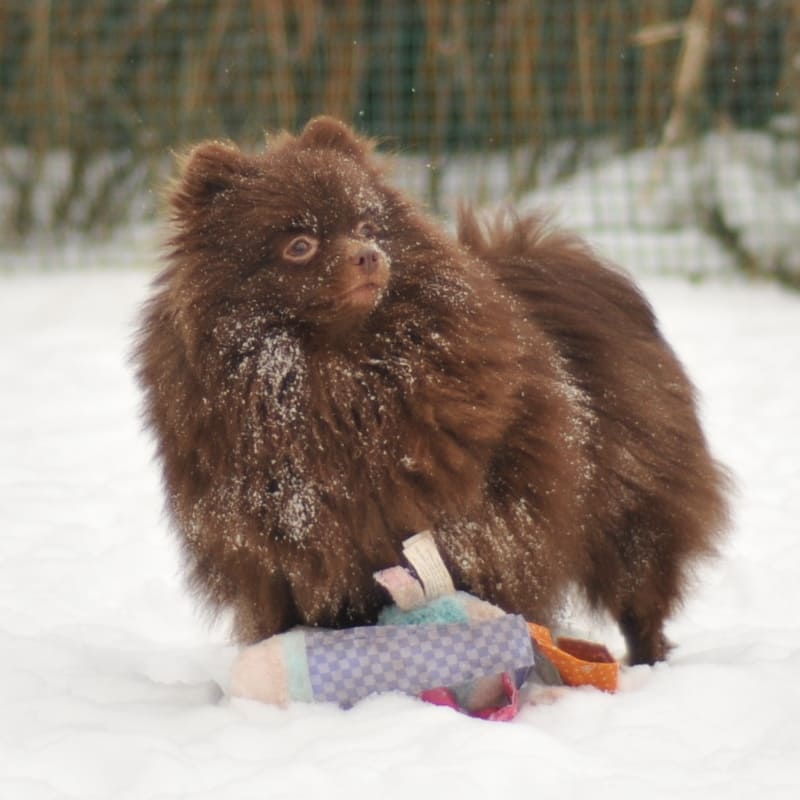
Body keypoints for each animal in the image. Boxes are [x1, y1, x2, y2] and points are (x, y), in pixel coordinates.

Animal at [134, 112, 728, 664]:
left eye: (368, 225)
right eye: (299, 245)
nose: (368, 254)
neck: (338, 380)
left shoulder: (481, 524)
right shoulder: (293, 557)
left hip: (633, 512)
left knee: (641, 598)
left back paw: (648, 662)